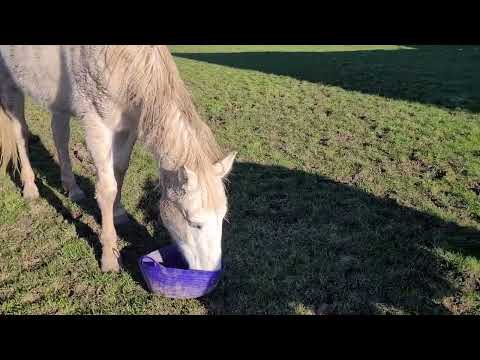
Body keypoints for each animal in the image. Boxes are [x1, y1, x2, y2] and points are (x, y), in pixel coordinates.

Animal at [0, 45, 236, 272]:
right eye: (195, 223)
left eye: (222, 218)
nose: (210, 273)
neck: (119, 60)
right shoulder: (97, 127)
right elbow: (107, 189)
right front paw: (110, 257)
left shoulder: (128, 127)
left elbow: (120, 170)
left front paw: (119, 213)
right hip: (11, 86)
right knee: (21, 134)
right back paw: (30, 188)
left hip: (58, 103)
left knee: (60, 136)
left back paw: (72, 189)